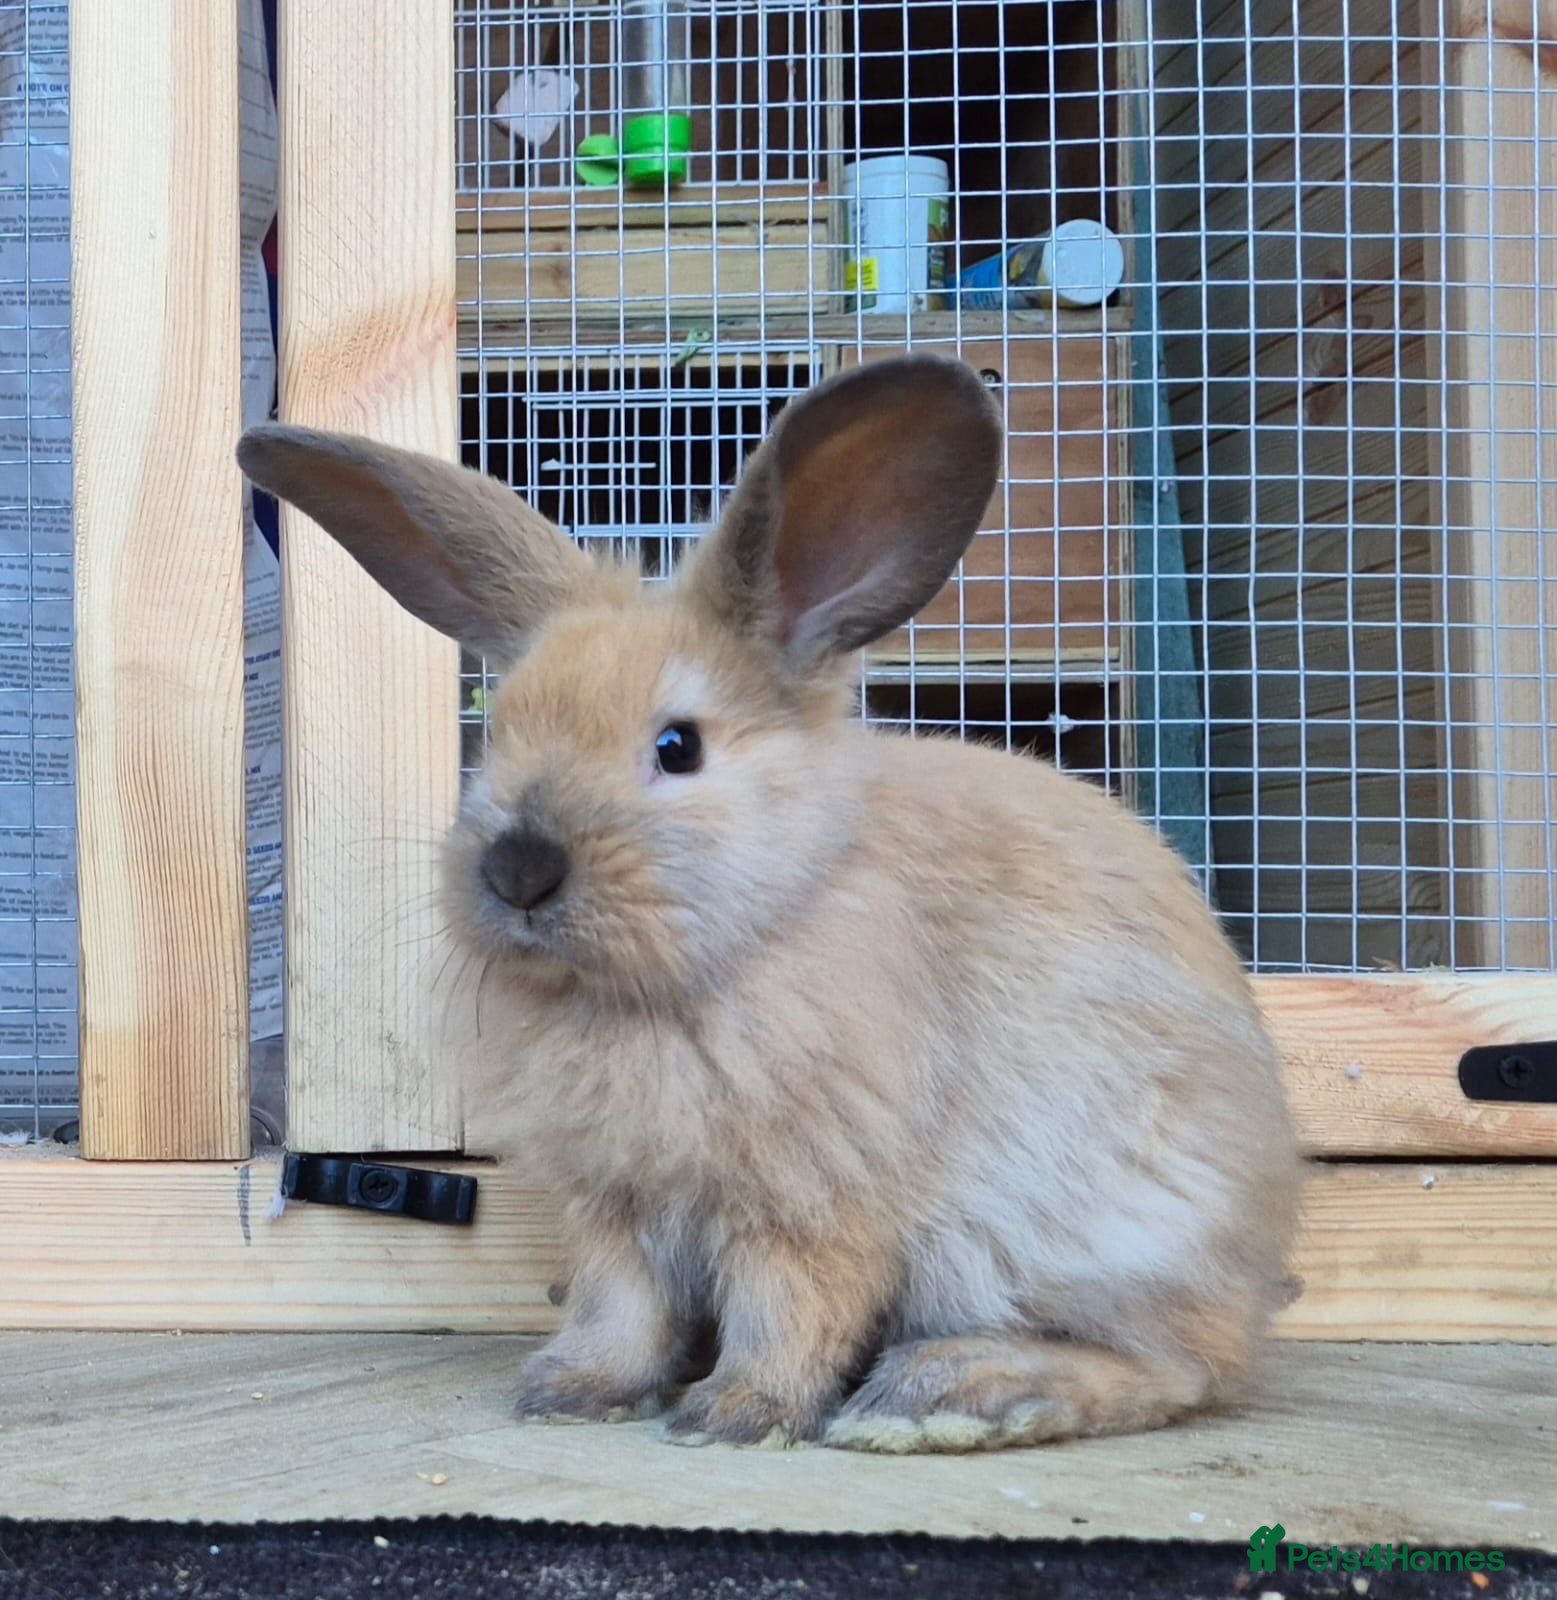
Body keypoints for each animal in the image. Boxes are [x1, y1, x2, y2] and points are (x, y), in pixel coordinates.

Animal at [237, 353, 1306, 1455]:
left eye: (678, 747)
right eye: (495, 735)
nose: (518, 869)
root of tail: (1254, 1266)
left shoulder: (809, 1201)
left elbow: (788, 1310)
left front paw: (737, 1415)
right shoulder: (617, 1207)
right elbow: (622, 1307)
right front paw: (576, 1392)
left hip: (1085, 1234)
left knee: (1180, 1370)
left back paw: (952, 1391)